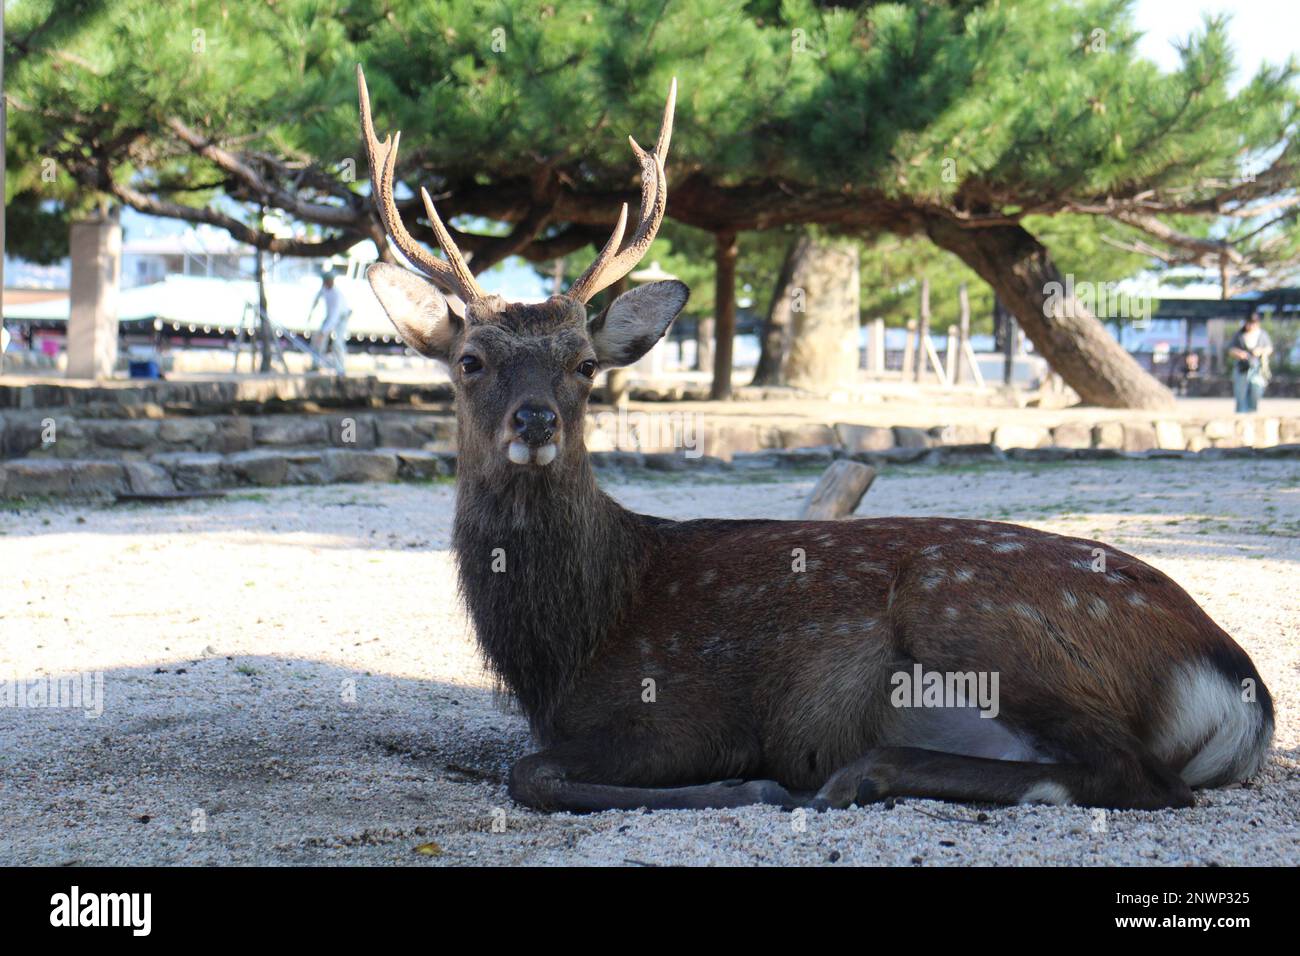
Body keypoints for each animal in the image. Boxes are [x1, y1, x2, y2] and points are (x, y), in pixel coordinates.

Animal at [356, 69, 1268, 816]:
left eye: (583, 363)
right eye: (470, 360)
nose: (537, 420)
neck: (570, 642)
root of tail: (1238, 682)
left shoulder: (680, 708)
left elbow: (534, 772)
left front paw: (750, 783)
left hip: (972, 614)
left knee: (1134, 777)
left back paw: (856, 773)